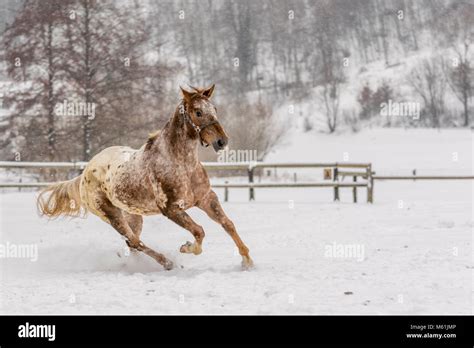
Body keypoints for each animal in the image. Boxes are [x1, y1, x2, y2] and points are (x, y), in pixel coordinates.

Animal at [37, 84, 254, 270]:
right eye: (198, 112)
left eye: (215, 109)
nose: (222, 141)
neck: (181, 164)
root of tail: (84, 174)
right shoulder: (171, 209)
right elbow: (199, 230)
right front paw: (187, 247)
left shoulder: (206, 198)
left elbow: (227, 224)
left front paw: (247, 261)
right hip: (112, 216)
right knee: (134, 241)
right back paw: (167, 262)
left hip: (133, 215)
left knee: (132, 242)